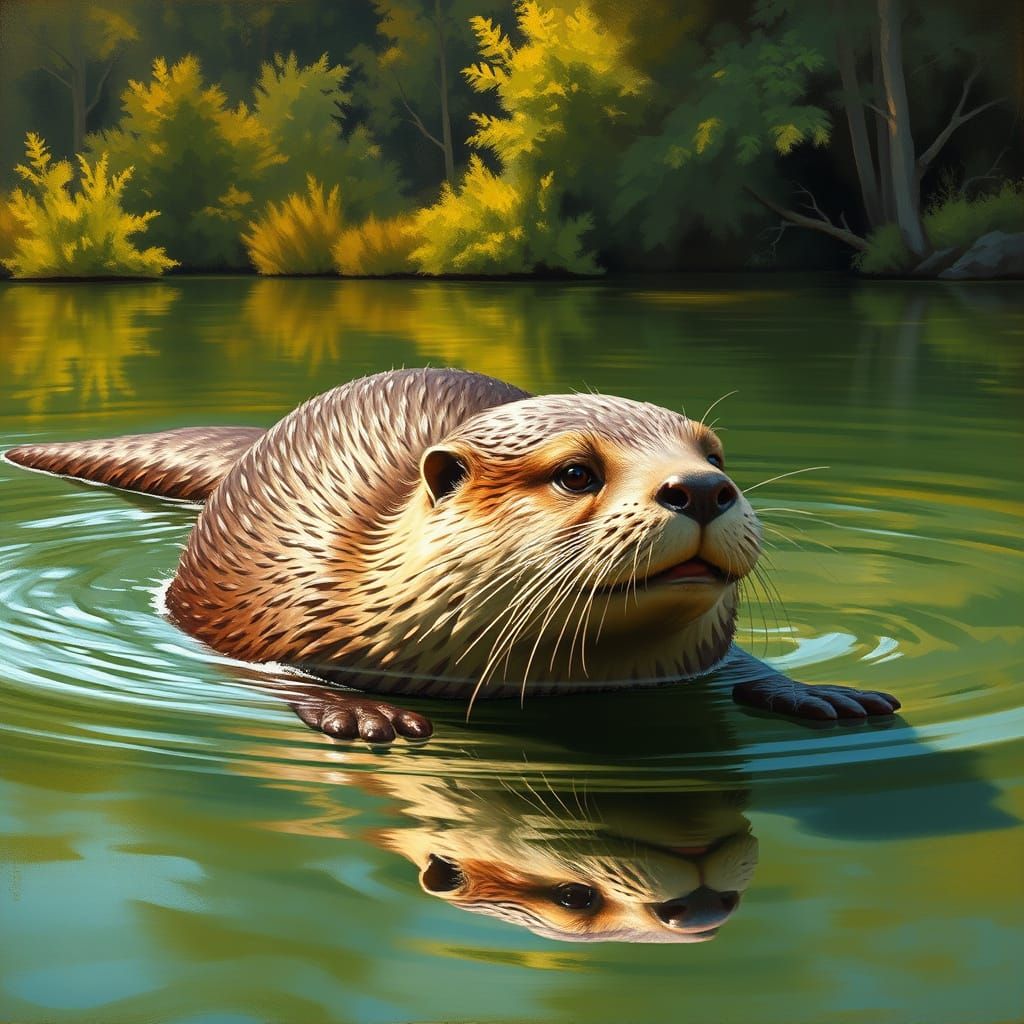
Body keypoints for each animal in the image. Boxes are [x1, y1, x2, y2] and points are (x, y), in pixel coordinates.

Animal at [6, 367, 900, 743]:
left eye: (715, 453)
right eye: (577, 473)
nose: (705, 489)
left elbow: (736, 659)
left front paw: (817, 691)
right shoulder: (266, 591)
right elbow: (252, 669)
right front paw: (359, 712)